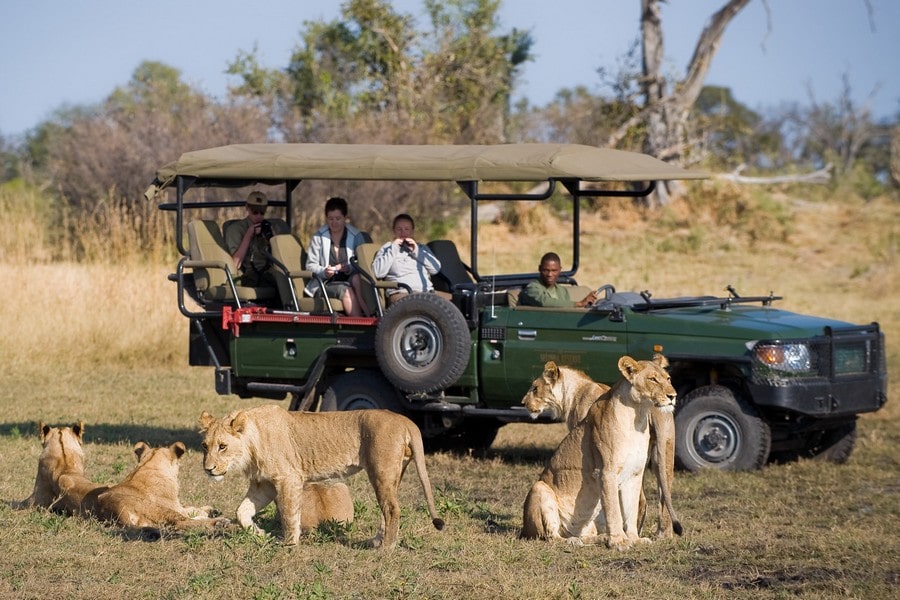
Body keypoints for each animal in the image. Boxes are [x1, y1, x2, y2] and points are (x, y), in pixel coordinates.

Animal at [200, 404, 446, 548]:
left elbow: (289, 514)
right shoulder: (264, 485)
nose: (208, 469)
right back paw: (377, 541)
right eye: (205, 446)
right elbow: (241, 511)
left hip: (381, 472)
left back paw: (386, 548)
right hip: (395, 473)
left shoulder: (288, 478)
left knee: (393, 509)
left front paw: (289, 545)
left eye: (222, 446)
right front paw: (259, 534)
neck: (252, 444)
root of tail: (404, 420)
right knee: (388, 508)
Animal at [524, 354, 680, 552]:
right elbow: (614, 510)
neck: (638, 416)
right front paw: (619, 541)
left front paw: (633, 539)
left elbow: (629, 510)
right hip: (539, 488)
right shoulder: (606, 472)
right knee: (551, 537)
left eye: (668, 379)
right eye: (653, 379)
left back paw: (599, 538)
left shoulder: (634, 474)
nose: (672, 396)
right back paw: (575, 541)